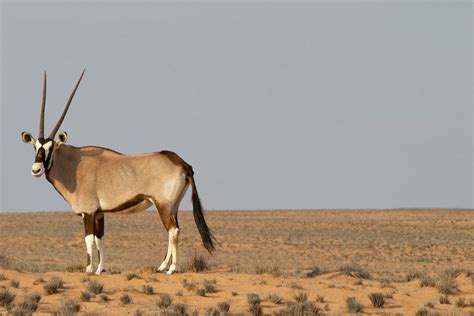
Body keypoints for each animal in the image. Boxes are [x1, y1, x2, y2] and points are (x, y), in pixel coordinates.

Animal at [20, 71, 215, 274]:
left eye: (51, 148)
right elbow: (100, 240)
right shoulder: (99, 213)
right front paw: (100, 270)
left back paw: (172, 269)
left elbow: (89, 240)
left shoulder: (88, 213)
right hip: (172, 207)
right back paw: (162, 266)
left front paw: (89, 270)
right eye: (35, 147)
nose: (36, 169)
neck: (74, 165)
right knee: (173, 230)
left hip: (163, 205)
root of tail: (182, 163)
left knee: (173, 231)